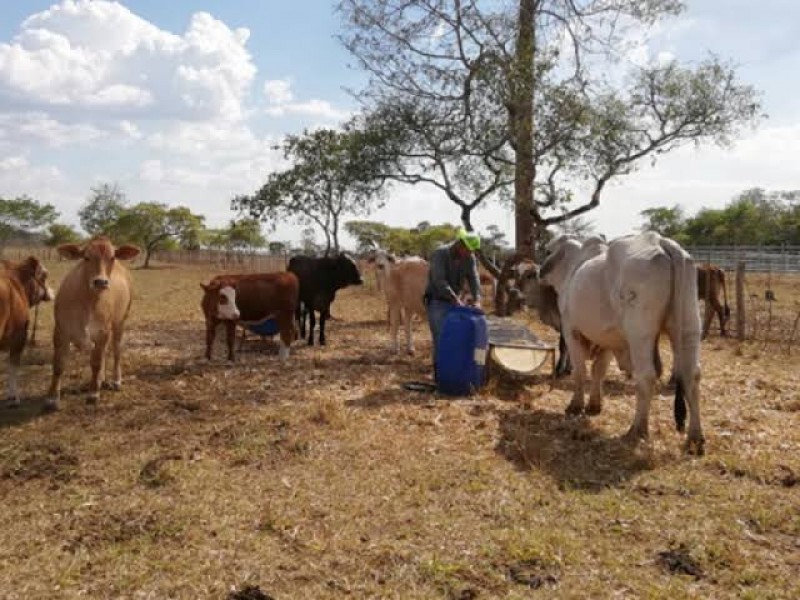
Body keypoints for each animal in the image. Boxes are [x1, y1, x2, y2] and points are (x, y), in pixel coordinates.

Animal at [47, 237, 141, 410]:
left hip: (120, 321)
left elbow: (96, 363)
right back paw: (101, 380)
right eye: (86, 257)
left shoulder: (102, 332)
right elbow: (58, 364)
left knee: (116, 349)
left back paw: (115, 380)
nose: (101, 282)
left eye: (112, 257)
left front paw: (93, 393)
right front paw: (51, 398)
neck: (86, 302)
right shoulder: (60, 331)